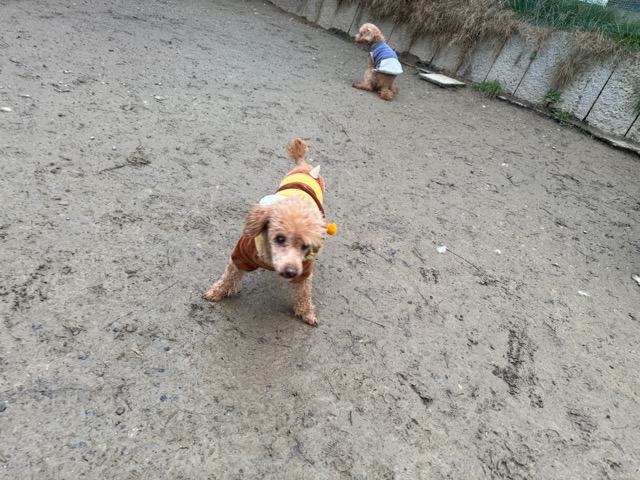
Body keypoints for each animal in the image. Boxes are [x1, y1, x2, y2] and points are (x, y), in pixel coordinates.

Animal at [204, 138, 333, 326]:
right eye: (279, 238)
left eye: (306, 246)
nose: (290, 272)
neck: (270, 260)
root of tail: (305, 165)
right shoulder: (242, 253)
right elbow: (230, 275)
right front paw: (218, 291)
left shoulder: (304, 269)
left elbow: (303, 293)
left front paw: (307, 312)